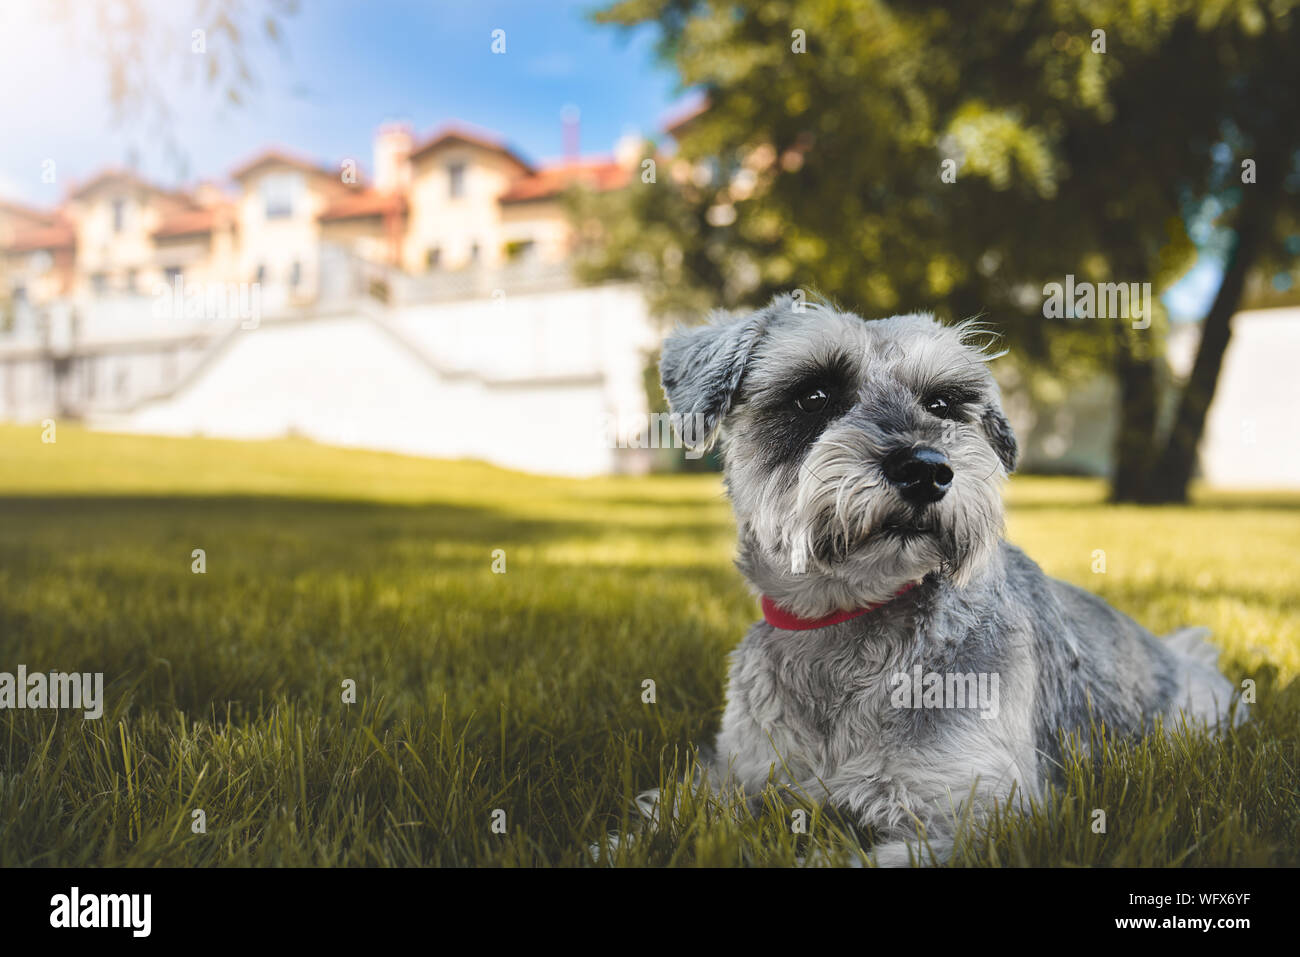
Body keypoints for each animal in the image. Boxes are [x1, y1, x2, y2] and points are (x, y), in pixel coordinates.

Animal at [655, 293, 1242, 868]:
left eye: (940, 404)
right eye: (813, 396)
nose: (925, 469)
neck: (848, 618)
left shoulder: (981, 815)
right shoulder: (736, 776)